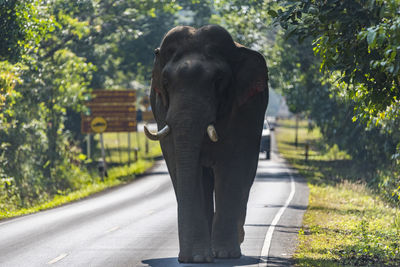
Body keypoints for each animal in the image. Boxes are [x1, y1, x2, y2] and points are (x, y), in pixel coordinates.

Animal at [144, 25, 268, 264]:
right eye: (166, 82)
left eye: (218, 80)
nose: (184, 258)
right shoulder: (162, 110)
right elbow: (178, 163)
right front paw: (197, 258)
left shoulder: (245, 109)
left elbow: (233, 165)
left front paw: (225, 254)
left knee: (245, 176)